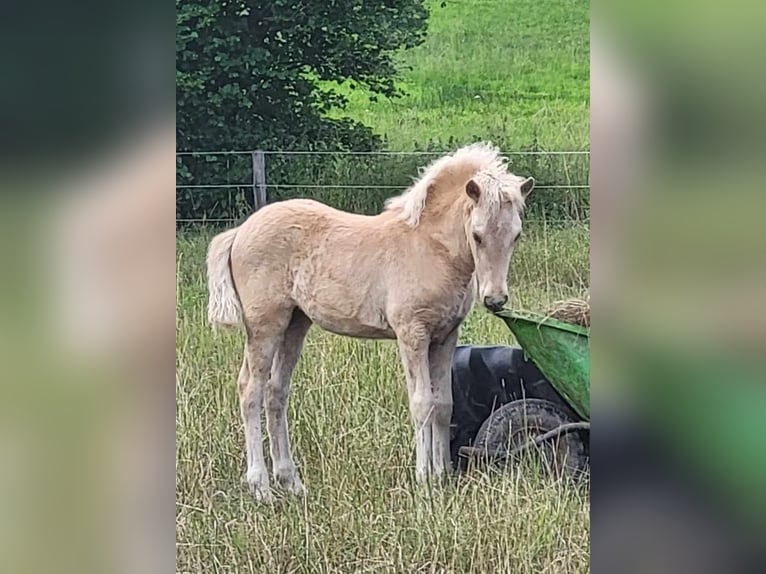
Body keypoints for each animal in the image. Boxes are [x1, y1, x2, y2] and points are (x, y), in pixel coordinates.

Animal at [207, 144, 536, 504]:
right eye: (477, 236)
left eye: (517, 235)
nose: (495, 299)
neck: (429, 248)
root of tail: (240, 231)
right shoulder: (412, 334)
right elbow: (422, 403)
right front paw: (424, 478)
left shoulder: (445, 336)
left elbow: (443, 404)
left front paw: (443, 475)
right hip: (265, 325)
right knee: (250, 390)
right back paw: (261, 487)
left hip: (295, 324)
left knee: (276, 392)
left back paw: (291, 482)